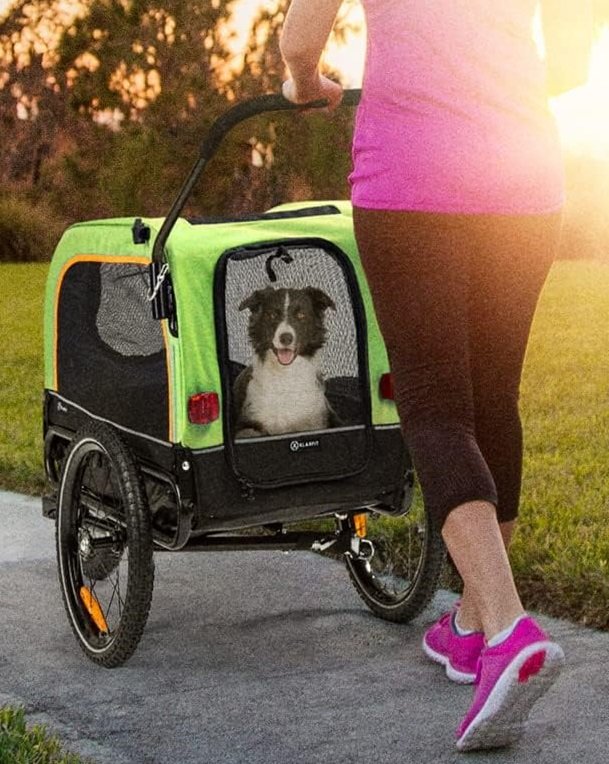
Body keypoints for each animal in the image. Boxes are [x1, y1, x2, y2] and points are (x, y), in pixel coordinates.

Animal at [233, 286, 340, 438]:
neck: (286, 375)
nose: (286, 338)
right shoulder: (246, 424)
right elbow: (249, 431)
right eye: (272, 315)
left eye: (301, 315)